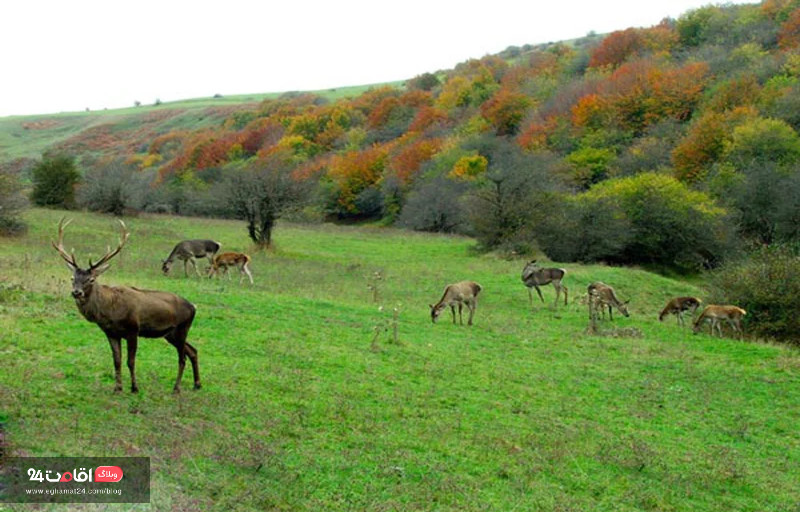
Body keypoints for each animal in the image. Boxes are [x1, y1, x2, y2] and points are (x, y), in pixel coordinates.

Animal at [52, 218, 200, 394]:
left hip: (182, 328)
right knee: (193, 350)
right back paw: (197, 384)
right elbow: (117, 360)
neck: (110, 312)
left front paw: (134, 387)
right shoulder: (111, 332)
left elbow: (131, 361)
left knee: (182, 357)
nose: (77, 292)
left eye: (91, 279)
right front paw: (117, 387)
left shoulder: (133, 329)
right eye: (72, 278)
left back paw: (176, 388)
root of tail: (193, 307)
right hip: (170, 333)